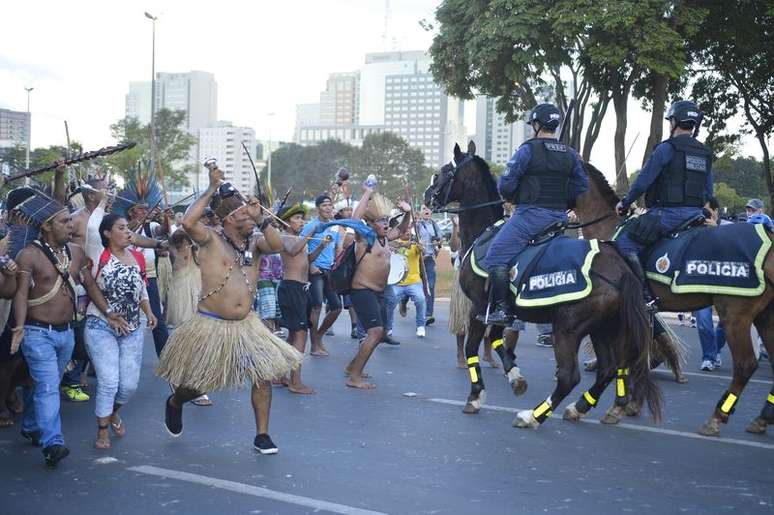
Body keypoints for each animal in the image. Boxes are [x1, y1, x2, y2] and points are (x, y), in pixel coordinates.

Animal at [428, 141, 664, 428]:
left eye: (443, 172)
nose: (427, 197)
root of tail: (621, 270)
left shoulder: (480, 308)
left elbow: (473, 347)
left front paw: (475, 396)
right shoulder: (501, 311)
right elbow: (497, 341)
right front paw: (515, 377)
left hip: (568, 328)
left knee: (569, 376)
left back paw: (533, 416)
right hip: (603, 328)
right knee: (609, 368)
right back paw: (580, 407)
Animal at [580, 163, 774, 438]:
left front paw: (622, 404)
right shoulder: (644, 312)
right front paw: (633, 403)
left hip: (735, 316)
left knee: (745, 365)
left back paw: (717, 418)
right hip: (766, 316)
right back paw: (761, 418)